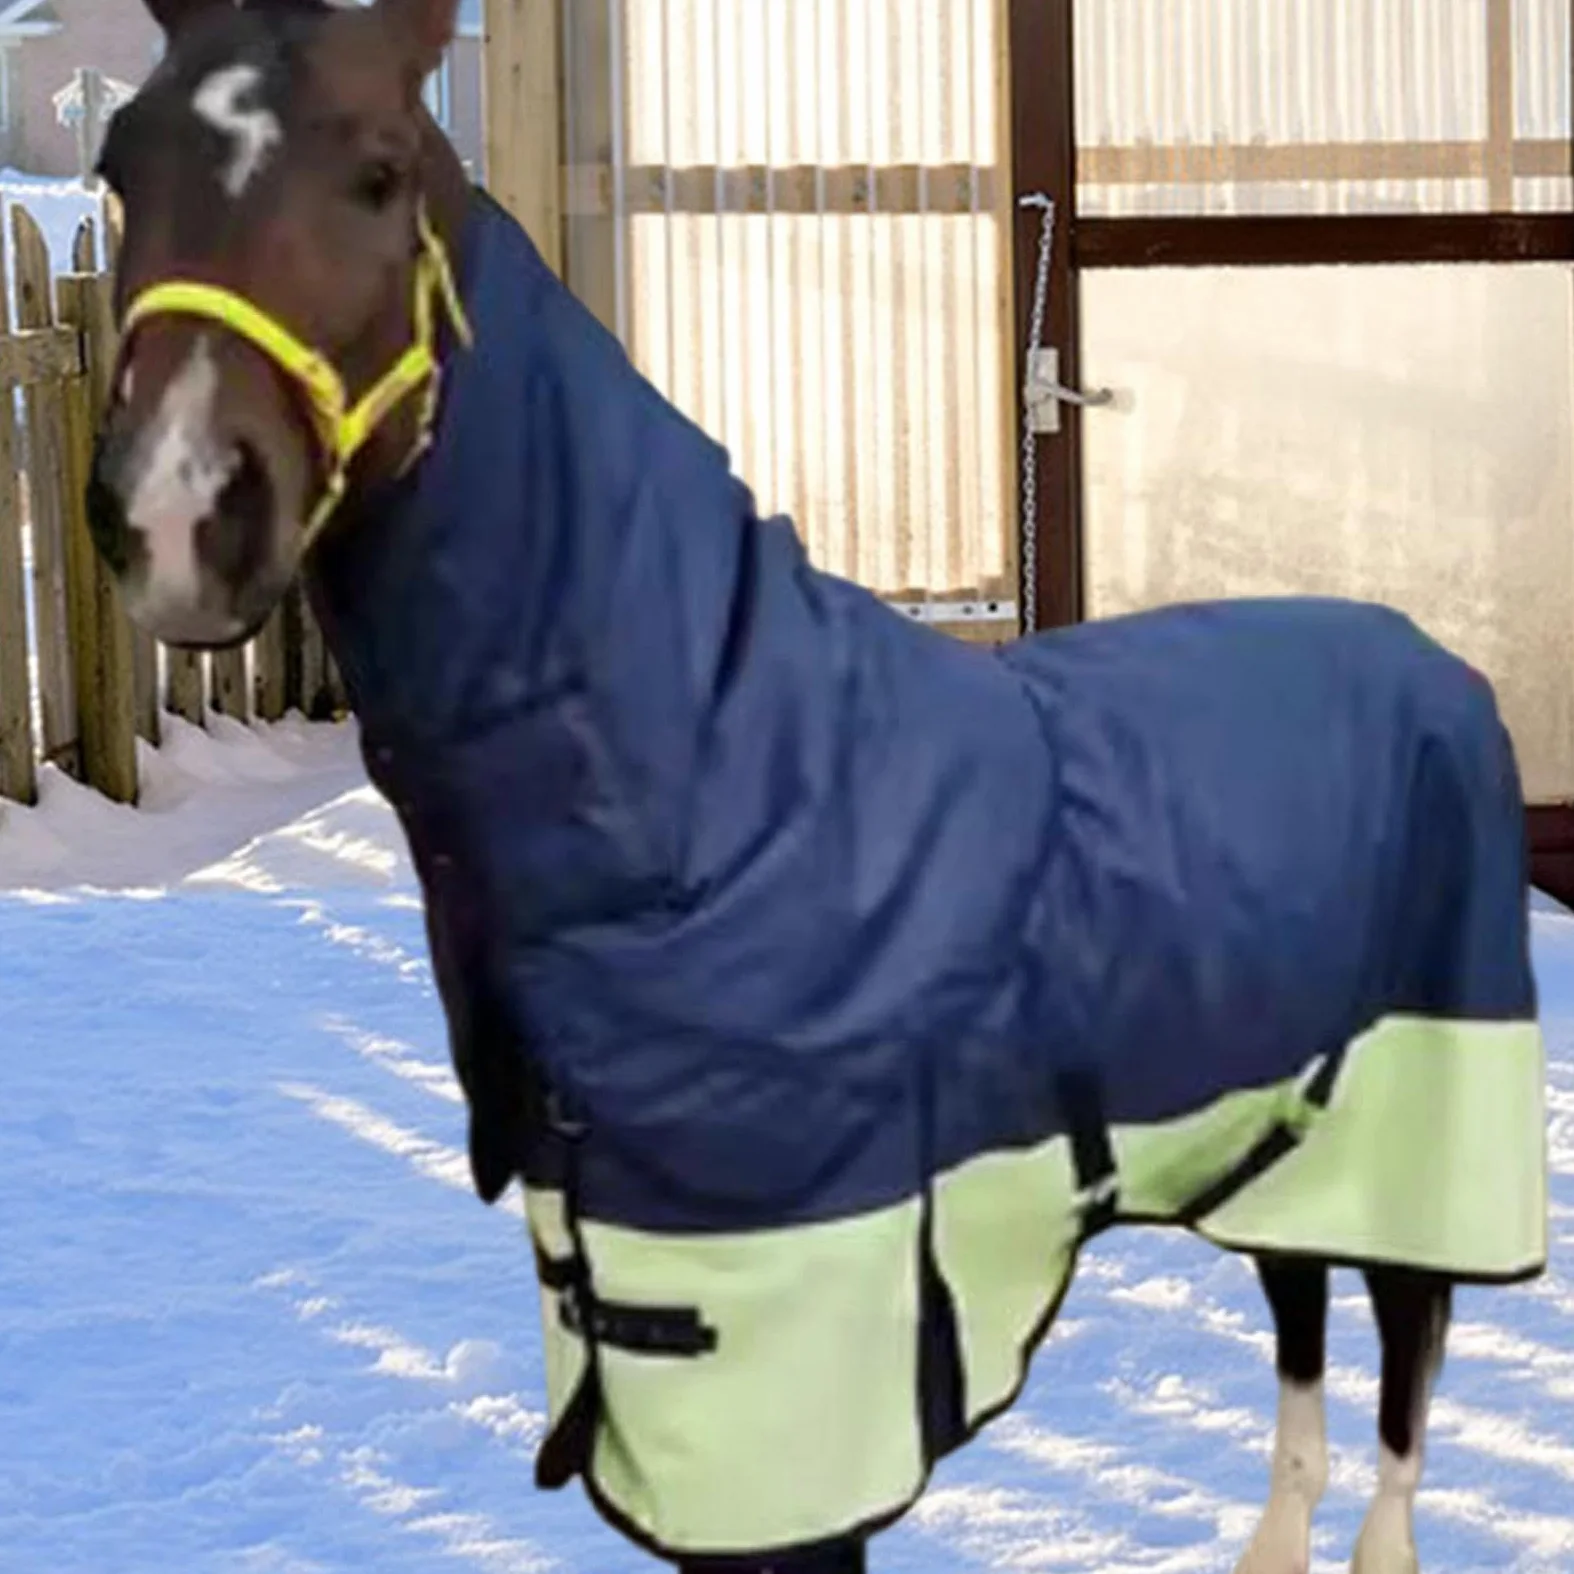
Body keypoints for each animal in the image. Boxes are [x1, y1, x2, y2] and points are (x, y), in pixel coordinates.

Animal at [83, 2, 1548, 1571]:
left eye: (373, 173)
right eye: (120, 166)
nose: (176, 510)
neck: (719, 780)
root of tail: (1434, 662)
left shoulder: (798, 1364)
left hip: (1411, 1118)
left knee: (1401, 1350)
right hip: (1271, 1133)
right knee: (1299, 1319)